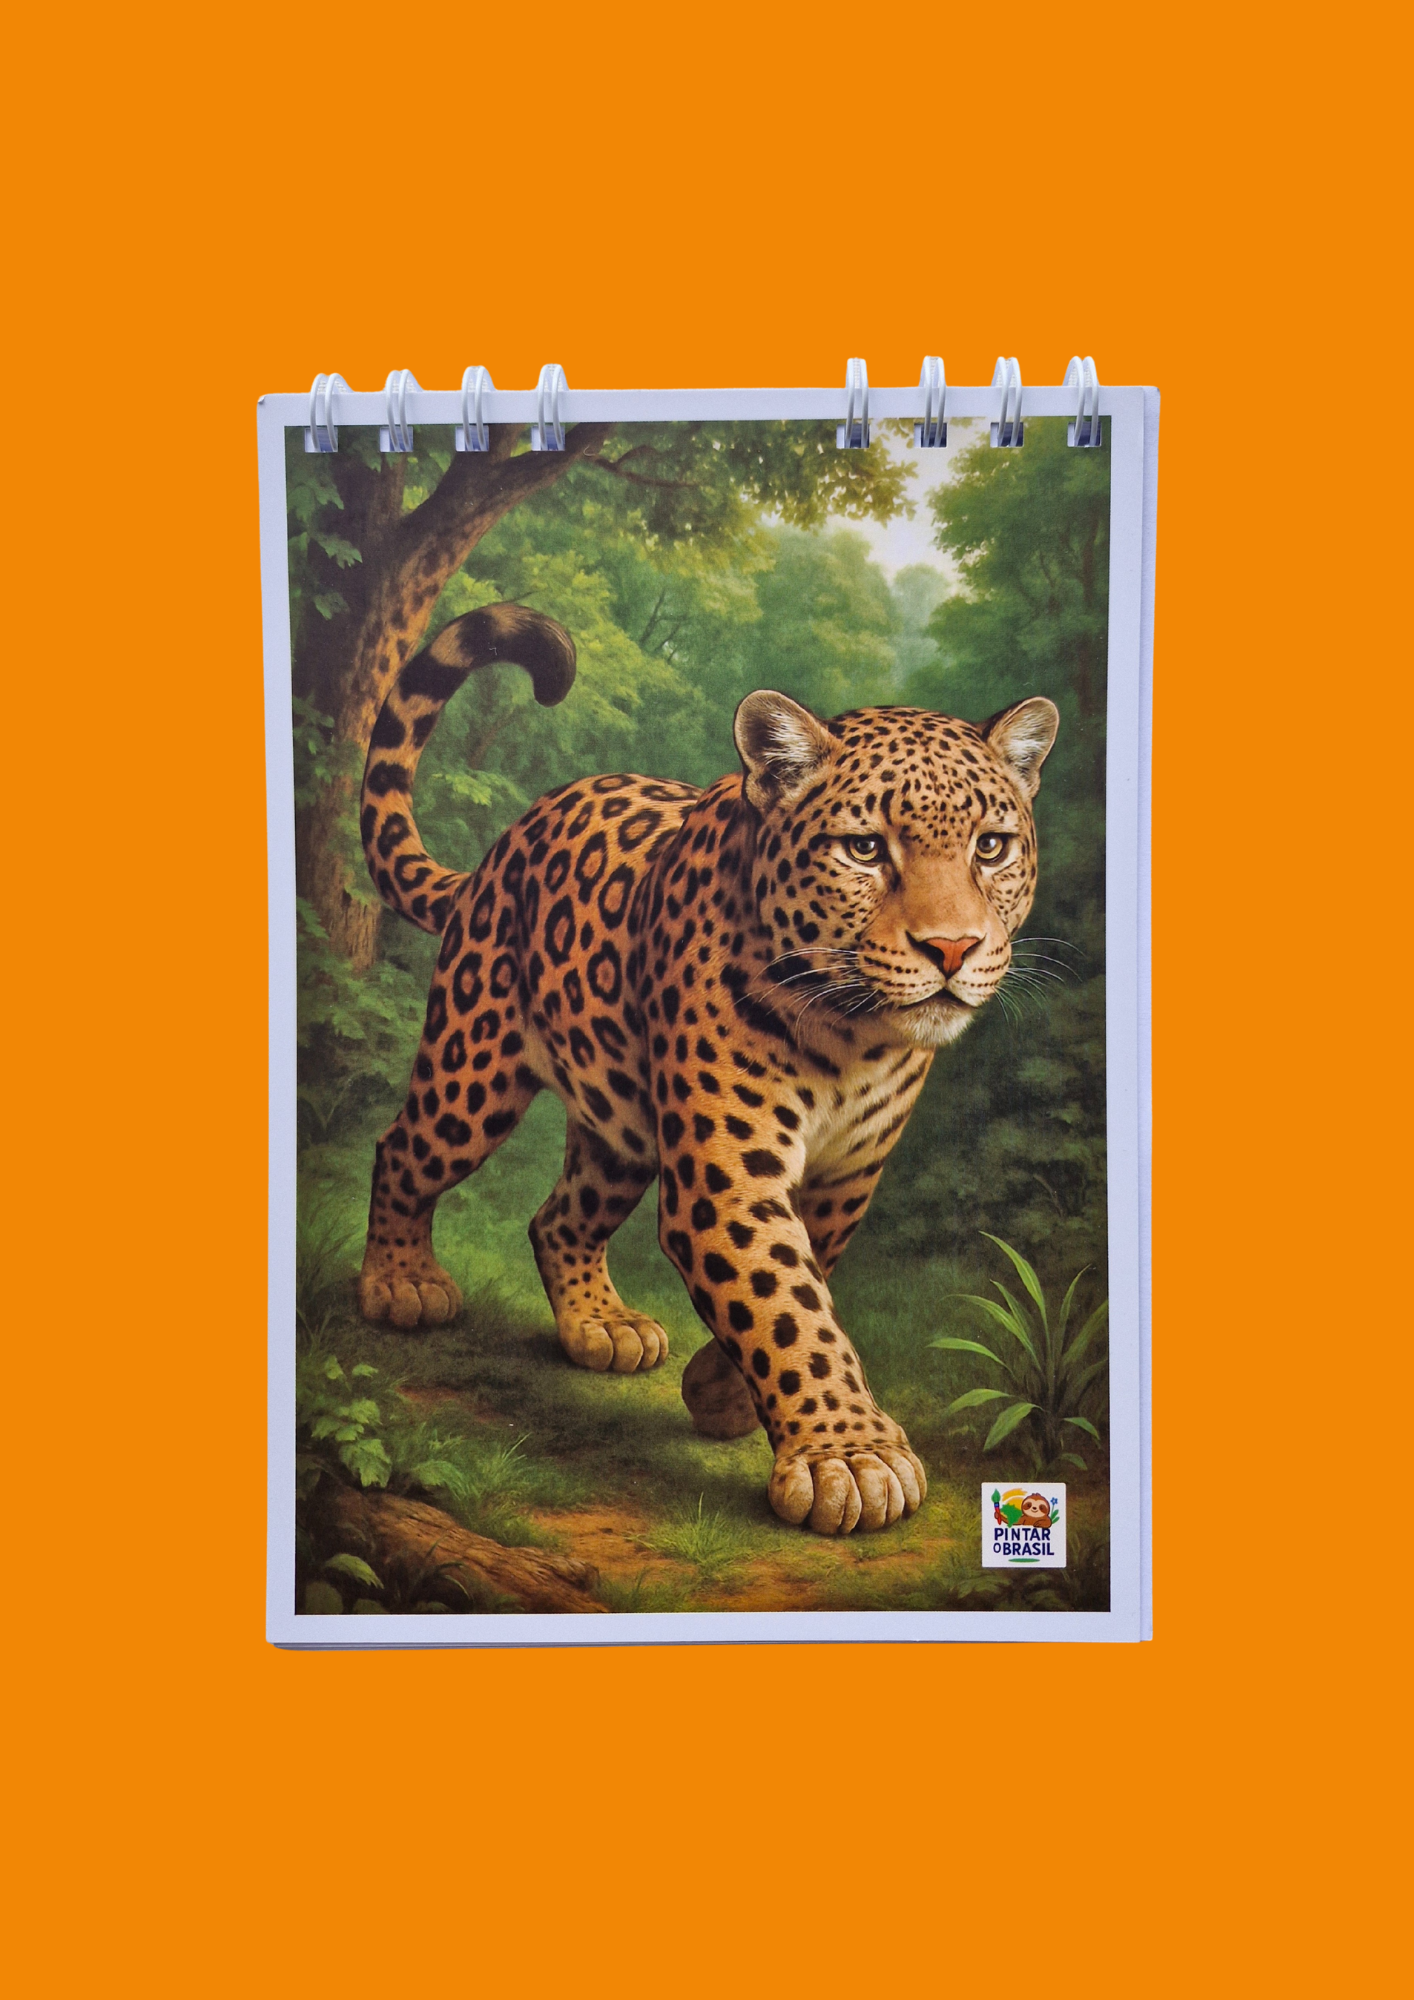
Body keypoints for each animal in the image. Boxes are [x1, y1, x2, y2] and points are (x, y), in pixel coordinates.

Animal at [354, 600, 1059, 1535]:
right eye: (865, 848)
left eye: (992, 847)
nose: (954, 948)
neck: (854, 1037)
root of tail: (504, 846)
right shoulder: (727, 1175)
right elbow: (785, 1302)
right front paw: (851, 1457)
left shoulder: (845, 1178)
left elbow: (802, 1285)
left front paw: (724, 1398)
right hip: (475, 1072)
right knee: (403, 1148)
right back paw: (400, 1283)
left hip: (618, 1124)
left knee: (557, 1217)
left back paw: (601, 1326)